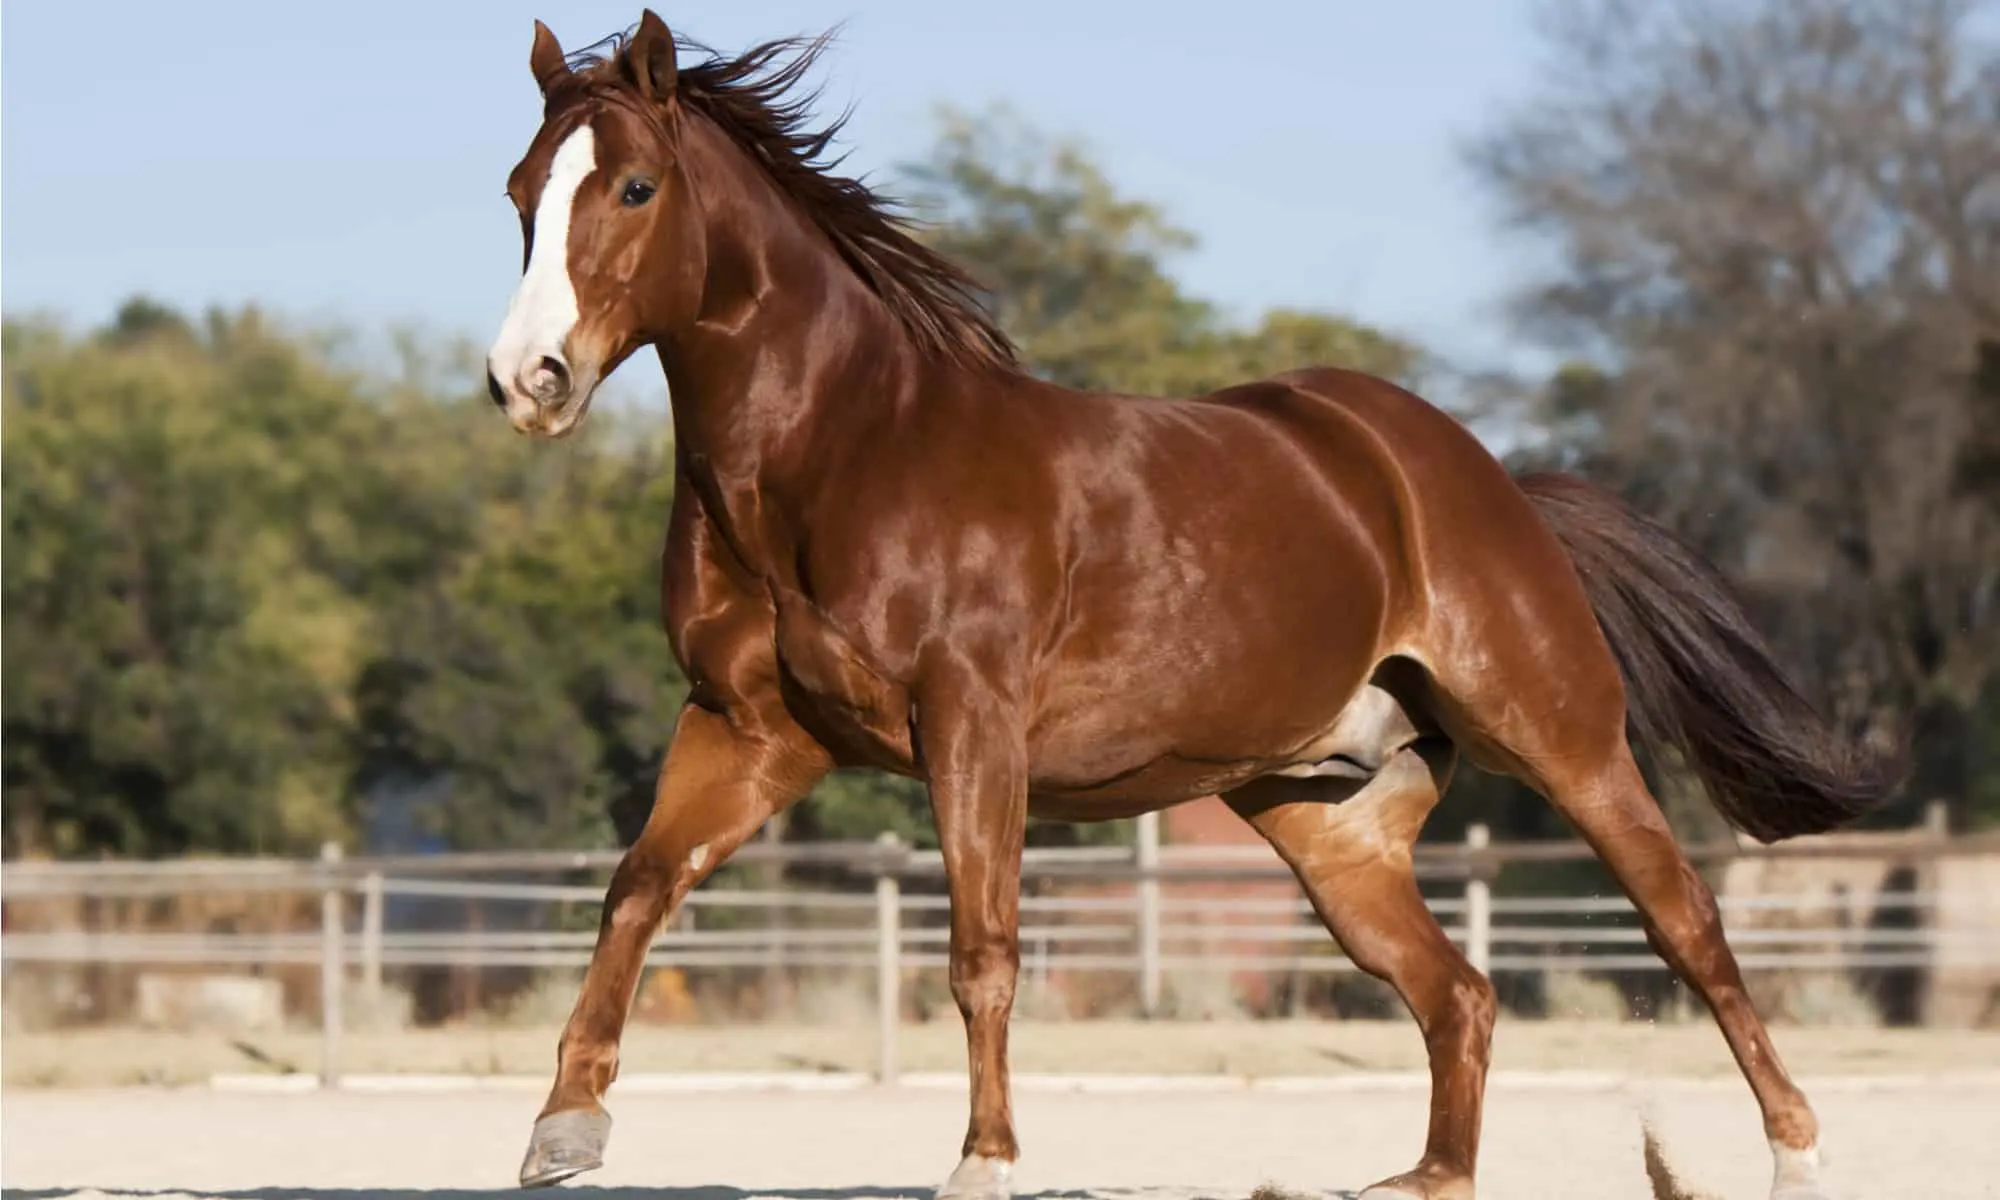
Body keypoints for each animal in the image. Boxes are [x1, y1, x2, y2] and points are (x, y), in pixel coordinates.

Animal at [481, 12, 1897, 1199]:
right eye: (518, 193)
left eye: (634, 186)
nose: (526, 379)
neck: (842, 453)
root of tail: (1479, 480)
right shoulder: (750, 731)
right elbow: (638, 888)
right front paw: (563, 1131)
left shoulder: (968, 730)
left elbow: (982, 949)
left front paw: (984, 1163)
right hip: (1327, 824)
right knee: (1457, 995)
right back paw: (1419, 1180)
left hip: (1561, 739)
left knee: (1684, 926)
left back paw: (1794, 1156)